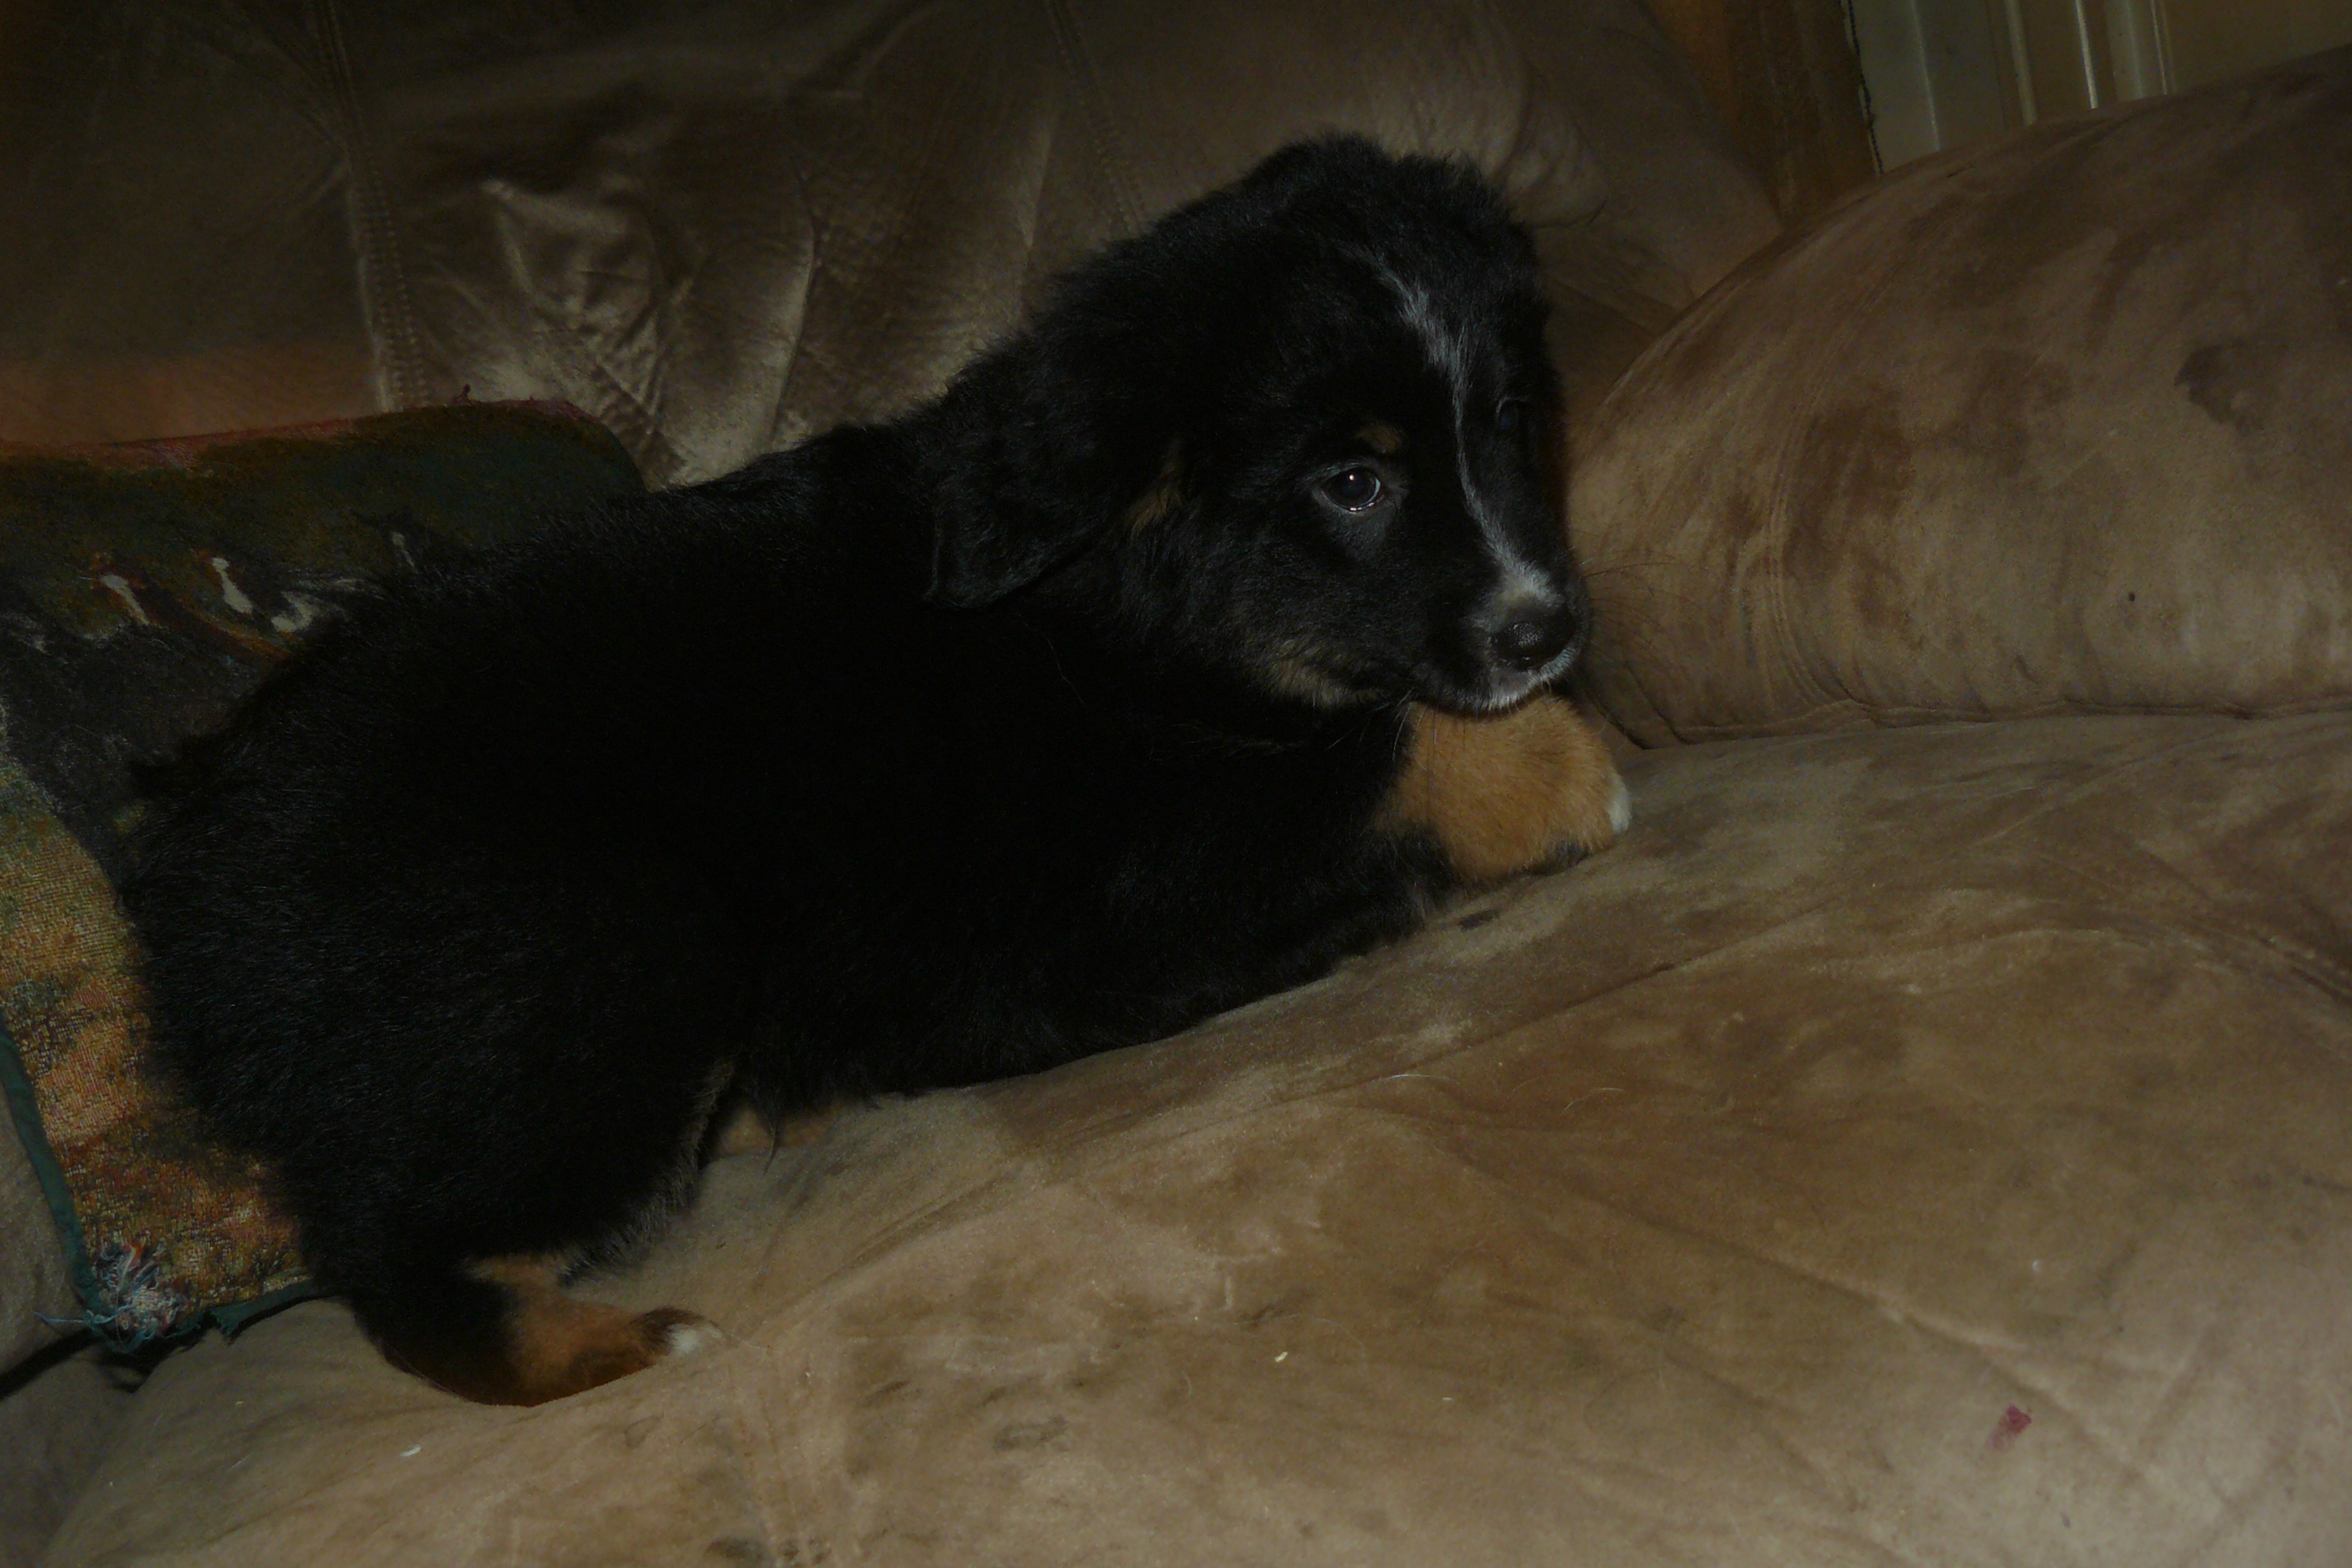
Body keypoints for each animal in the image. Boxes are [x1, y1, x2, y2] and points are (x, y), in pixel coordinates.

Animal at [122, 137, 1630, 1405]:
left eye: (1511, 417)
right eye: (1352, 485)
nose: (1545, 624)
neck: (1111, 616)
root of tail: (196, 916)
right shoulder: (1129, 880)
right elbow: (1390, 752)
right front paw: (1564, 769)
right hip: (608, 937)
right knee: (406, 1260)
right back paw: (620, 1340)